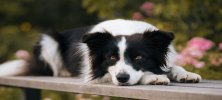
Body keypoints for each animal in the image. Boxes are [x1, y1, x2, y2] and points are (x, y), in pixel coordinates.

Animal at [0, 19, 201, 85]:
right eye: (111, 58)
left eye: (139, 58)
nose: (122, 79)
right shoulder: (98, 74)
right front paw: (153, 77)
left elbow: (173, 66)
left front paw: (186, 74)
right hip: (48, 40)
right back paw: (64, 72)